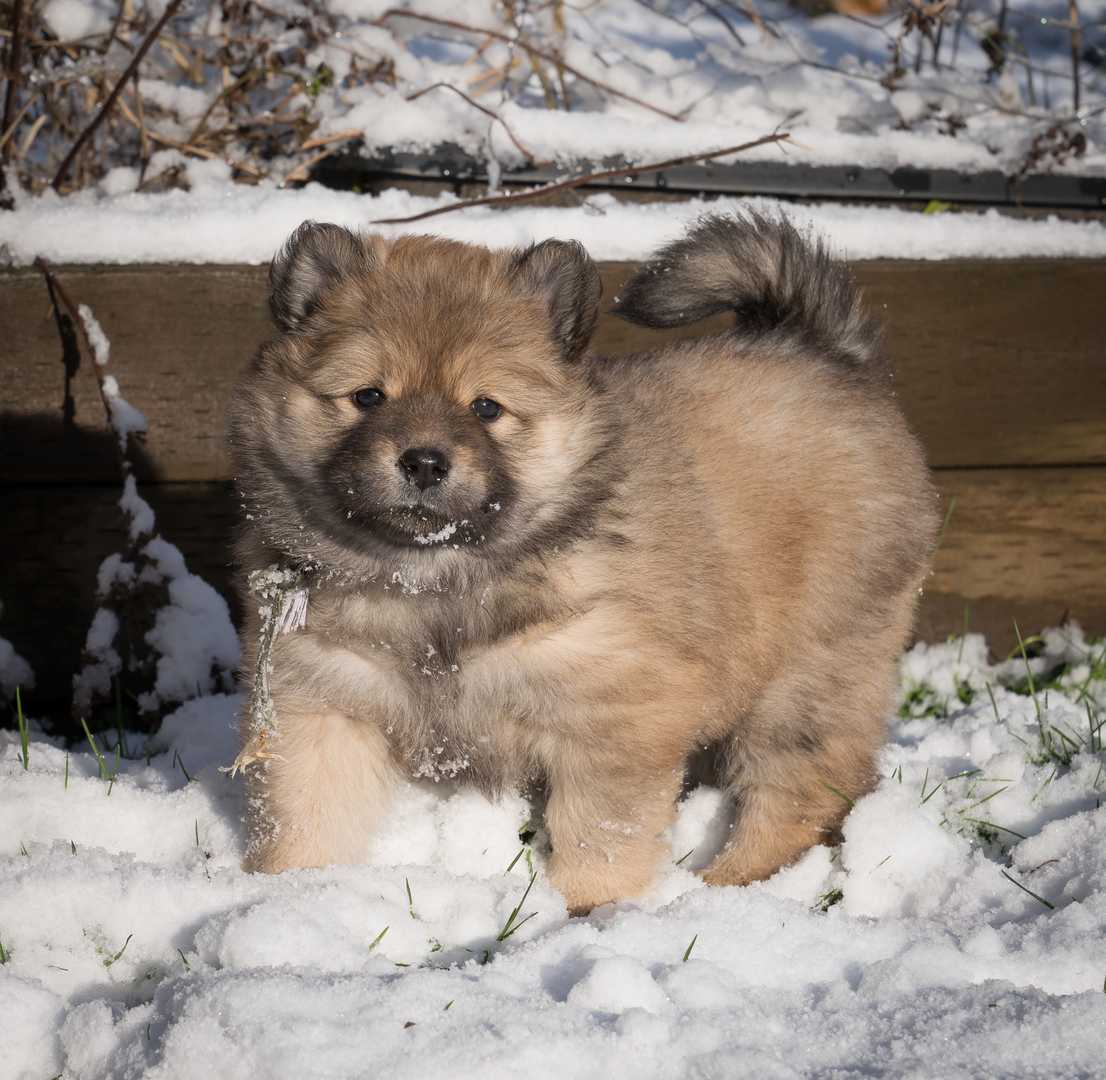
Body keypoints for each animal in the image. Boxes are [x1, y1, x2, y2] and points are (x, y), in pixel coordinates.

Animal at [228, 213, 937, 911]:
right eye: (368, 397)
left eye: (485, 406)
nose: (424, 462)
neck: (434, 583)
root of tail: (827, 354)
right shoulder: (322, 704)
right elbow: (309, 817)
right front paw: (294, 895)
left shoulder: (611, 718)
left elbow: (600, 833)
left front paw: (587, 909)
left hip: (809, 673)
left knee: (799, 789)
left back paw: (730, 886)